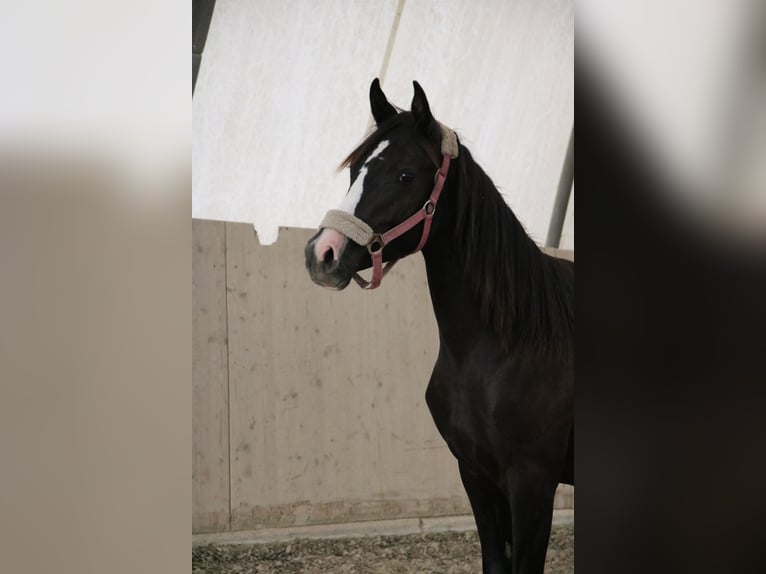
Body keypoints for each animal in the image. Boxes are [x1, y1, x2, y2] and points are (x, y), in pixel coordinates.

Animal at [304, 80, 572, 574]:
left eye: (406, 175)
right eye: (355, 170)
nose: (322, 254)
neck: (508, 346)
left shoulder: (532, 483)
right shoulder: (477, 474)